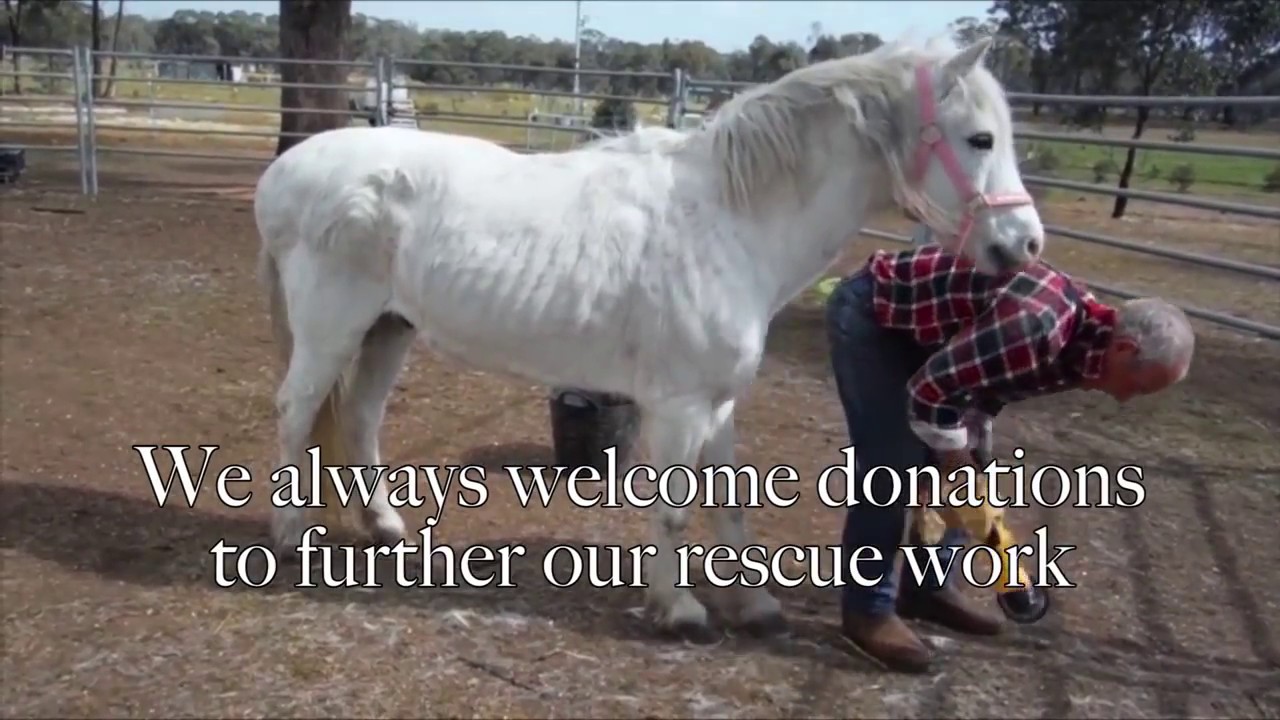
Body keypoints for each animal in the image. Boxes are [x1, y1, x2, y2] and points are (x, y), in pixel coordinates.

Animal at [252, 35, 1043, 642]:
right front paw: (680, 610)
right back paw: (291, 538)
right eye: (979, 138)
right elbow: (674, 507)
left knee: (359, 417)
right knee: (295, 411)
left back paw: (386, 528)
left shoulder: (719, 404)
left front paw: (753, 604)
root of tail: (285, 172)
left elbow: (729, 499)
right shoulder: (680, 406)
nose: (1026, 244)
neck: (728, 218)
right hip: (333, 327)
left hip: (390, 328)